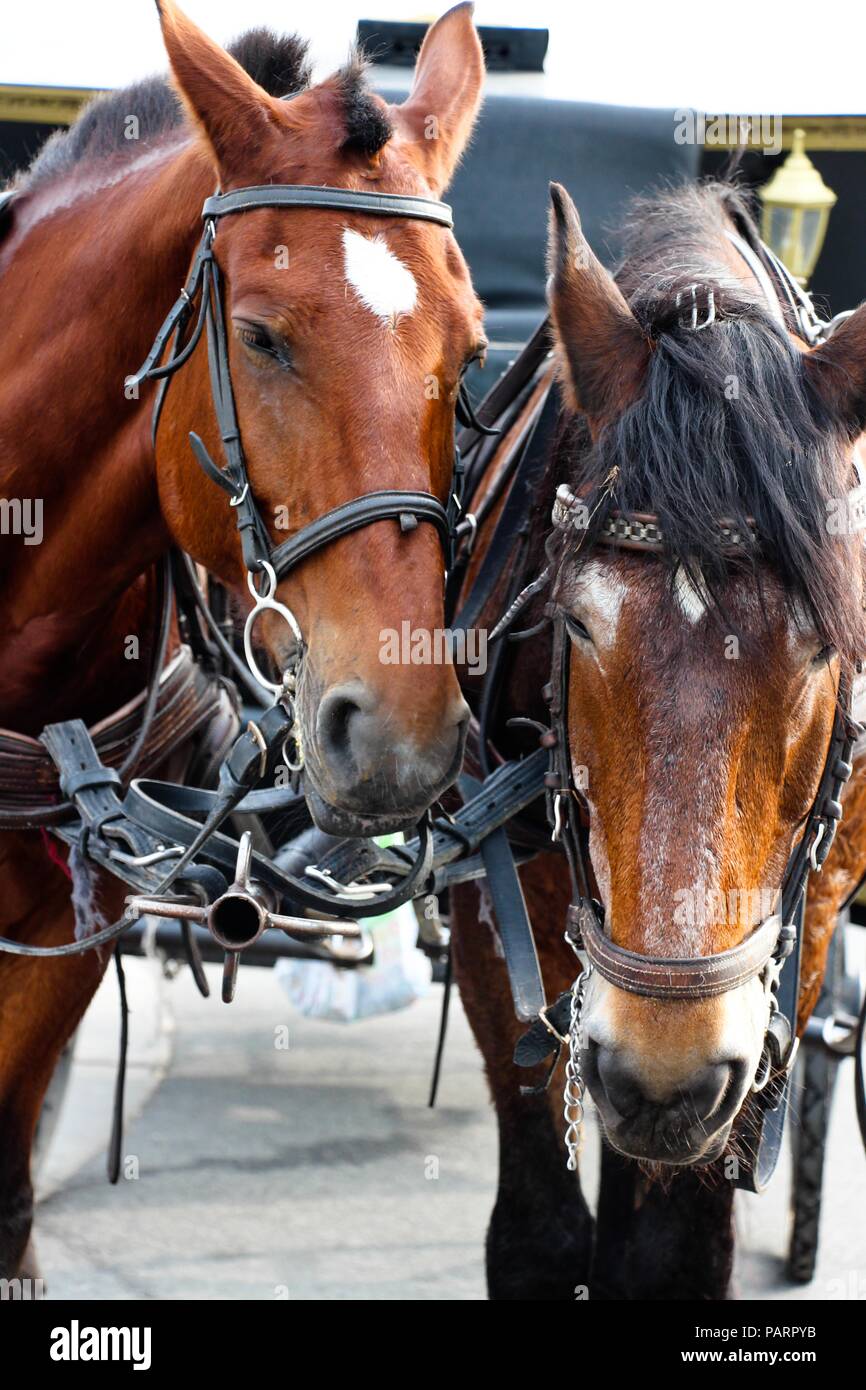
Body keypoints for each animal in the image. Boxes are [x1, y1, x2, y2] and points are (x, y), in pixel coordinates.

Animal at [451, 178, 866, 1299]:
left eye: (824, 642)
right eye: (578, 621)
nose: (662, 1071)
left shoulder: (805, 923)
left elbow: (668, 1251)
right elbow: (539, 1232)